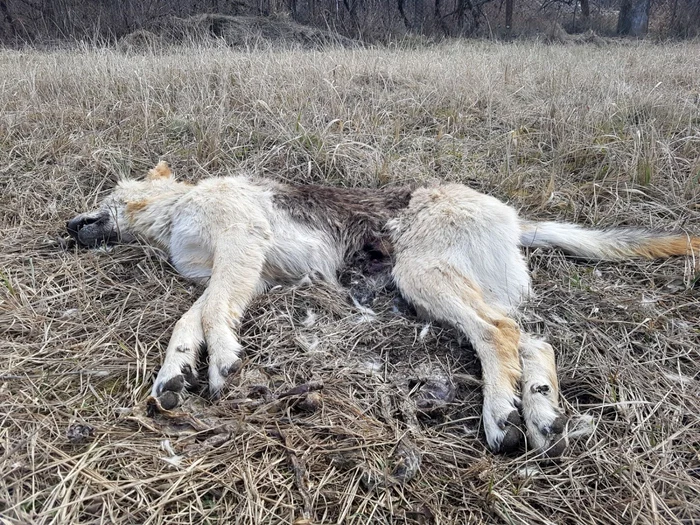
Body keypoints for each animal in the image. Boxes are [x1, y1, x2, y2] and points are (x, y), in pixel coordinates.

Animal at [67, 162, 700, 456]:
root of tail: (514, 218)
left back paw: (502, 415)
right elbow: (189, 321)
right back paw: (541, 414)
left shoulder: (240, 251)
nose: (67, 227)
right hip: (456, 286)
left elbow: (215, 315)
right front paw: (174, 373)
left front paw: (221, 361)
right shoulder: (237, 273)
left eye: (106, 196)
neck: (176, 210)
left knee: (498, 332)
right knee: (531, 338)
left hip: (420, 276)